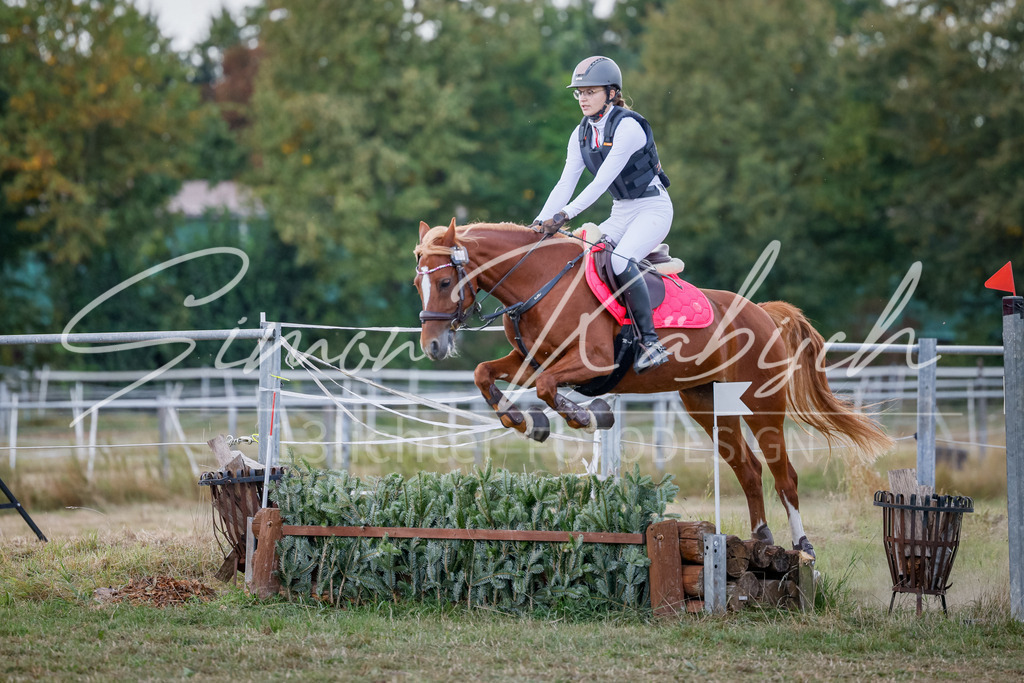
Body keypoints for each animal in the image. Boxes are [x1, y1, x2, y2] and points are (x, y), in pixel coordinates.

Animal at [413, 218, 893, 554]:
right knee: (749, 470)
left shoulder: (591, 362)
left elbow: (550, 388)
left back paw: (801, 544)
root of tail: (761, 312)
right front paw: (525, 421)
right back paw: (761, 537)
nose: (433, 345)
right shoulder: (531, 360)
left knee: (784, 474)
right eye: (418, 283)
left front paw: (587, 414)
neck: (538, 281)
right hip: (706, 404)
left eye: (444, 281)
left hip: (762, 404)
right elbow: (484, 373)